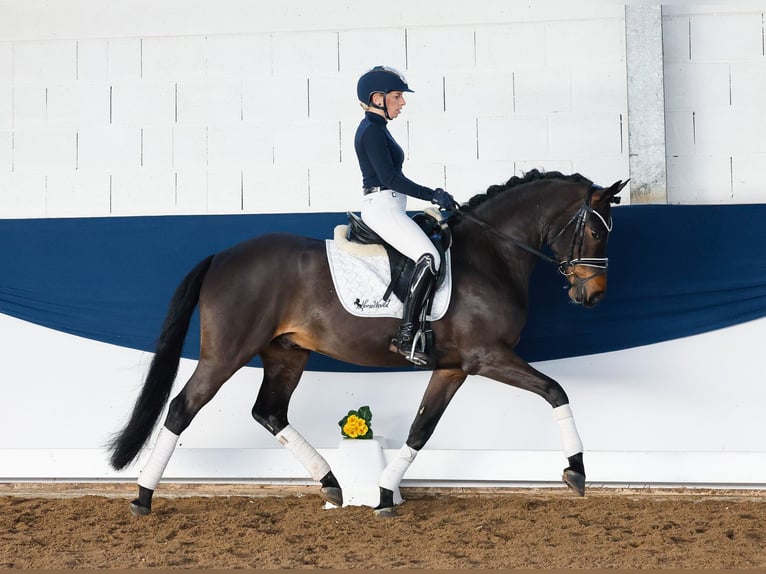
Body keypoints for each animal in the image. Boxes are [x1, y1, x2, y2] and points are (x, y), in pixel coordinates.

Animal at [108, 170, 632, 516]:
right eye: (593, 229)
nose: (593, 295)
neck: (491, 256)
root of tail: (221, 256)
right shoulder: (488, 357)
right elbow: (556, 391)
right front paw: (577, 471)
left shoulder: (452, 367)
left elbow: (421, 429)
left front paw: (382, 495)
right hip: (225, 354)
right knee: (182, 409)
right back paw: (142, 498)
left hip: (286, 354)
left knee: (269, 412)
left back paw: (332, 485)